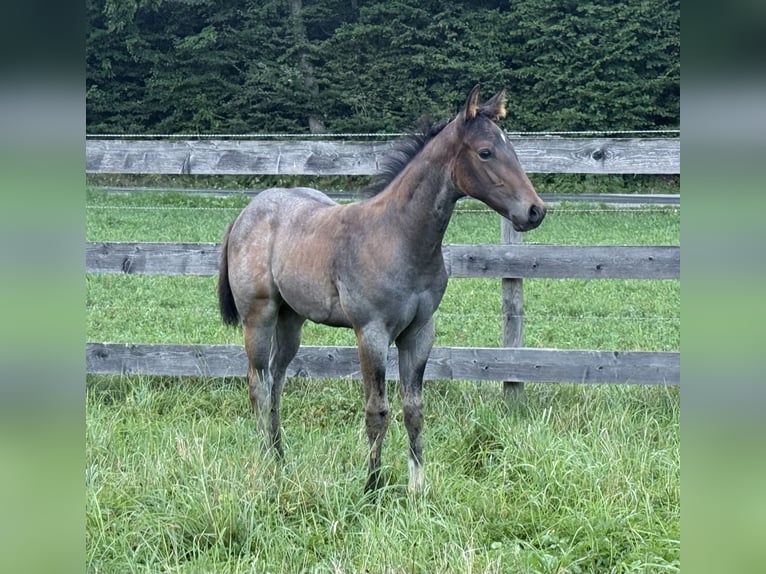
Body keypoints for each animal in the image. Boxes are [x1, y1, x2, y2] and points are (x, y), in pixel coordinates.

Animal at [217, 85, 546, 493]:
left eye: (510, 147)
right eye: (486, 151)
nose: (535, 211)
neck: (400, 236)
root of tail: (245, 213)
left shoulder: (419, 333)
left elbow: (414, 409)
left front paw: (418, 486)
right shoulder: (371, 332)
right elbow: (377, 410)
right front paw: (372, 487)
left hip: (291, 319)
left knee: (277, 381)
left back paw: (281, 459)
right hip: (258, 316)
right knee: (258, 384)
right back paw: (266, 462)